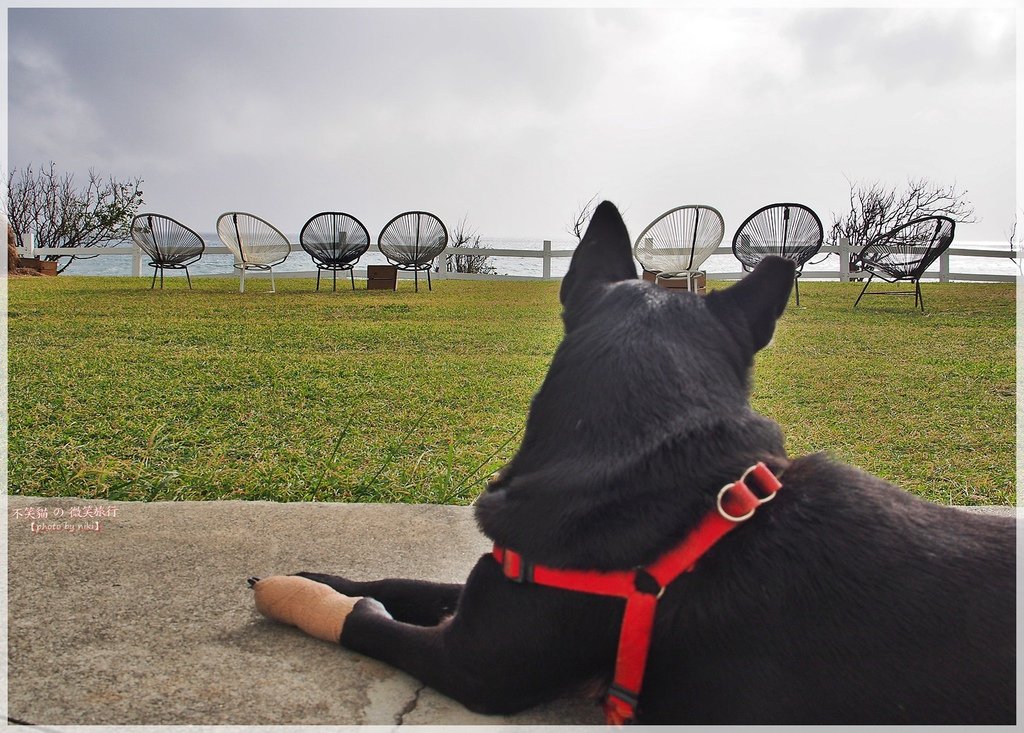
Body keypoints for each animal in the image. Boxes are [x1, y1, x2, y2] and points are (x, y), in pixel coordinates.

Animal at [249, 201, 1015, 728]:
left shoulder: (477, 668)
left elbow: (364, 621)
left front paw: (303, 597)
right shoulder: (497, 581)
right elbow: (402, 581)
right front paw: (315, 575)